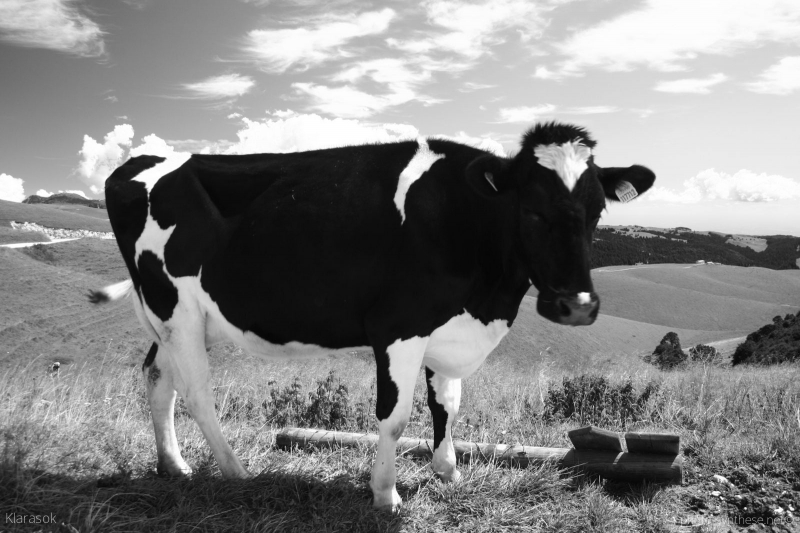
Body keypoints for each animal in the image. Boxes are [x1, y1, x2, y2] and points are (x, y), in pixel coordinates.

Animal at [90, 122, 654, 510]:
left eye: (598, 210)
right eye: (532, 210)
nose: (578, 306)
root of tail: (139, 162)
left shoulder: (448, 328)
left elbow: (447, 404)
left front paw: (448, 472)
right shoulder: (399, 327)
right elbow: (396, 416)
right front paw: (386, 493)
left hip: (171, 316)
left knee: (158, 376)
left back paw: (174, 465)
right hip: (175, 306)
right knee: (196, 391)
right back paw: (235, 472)